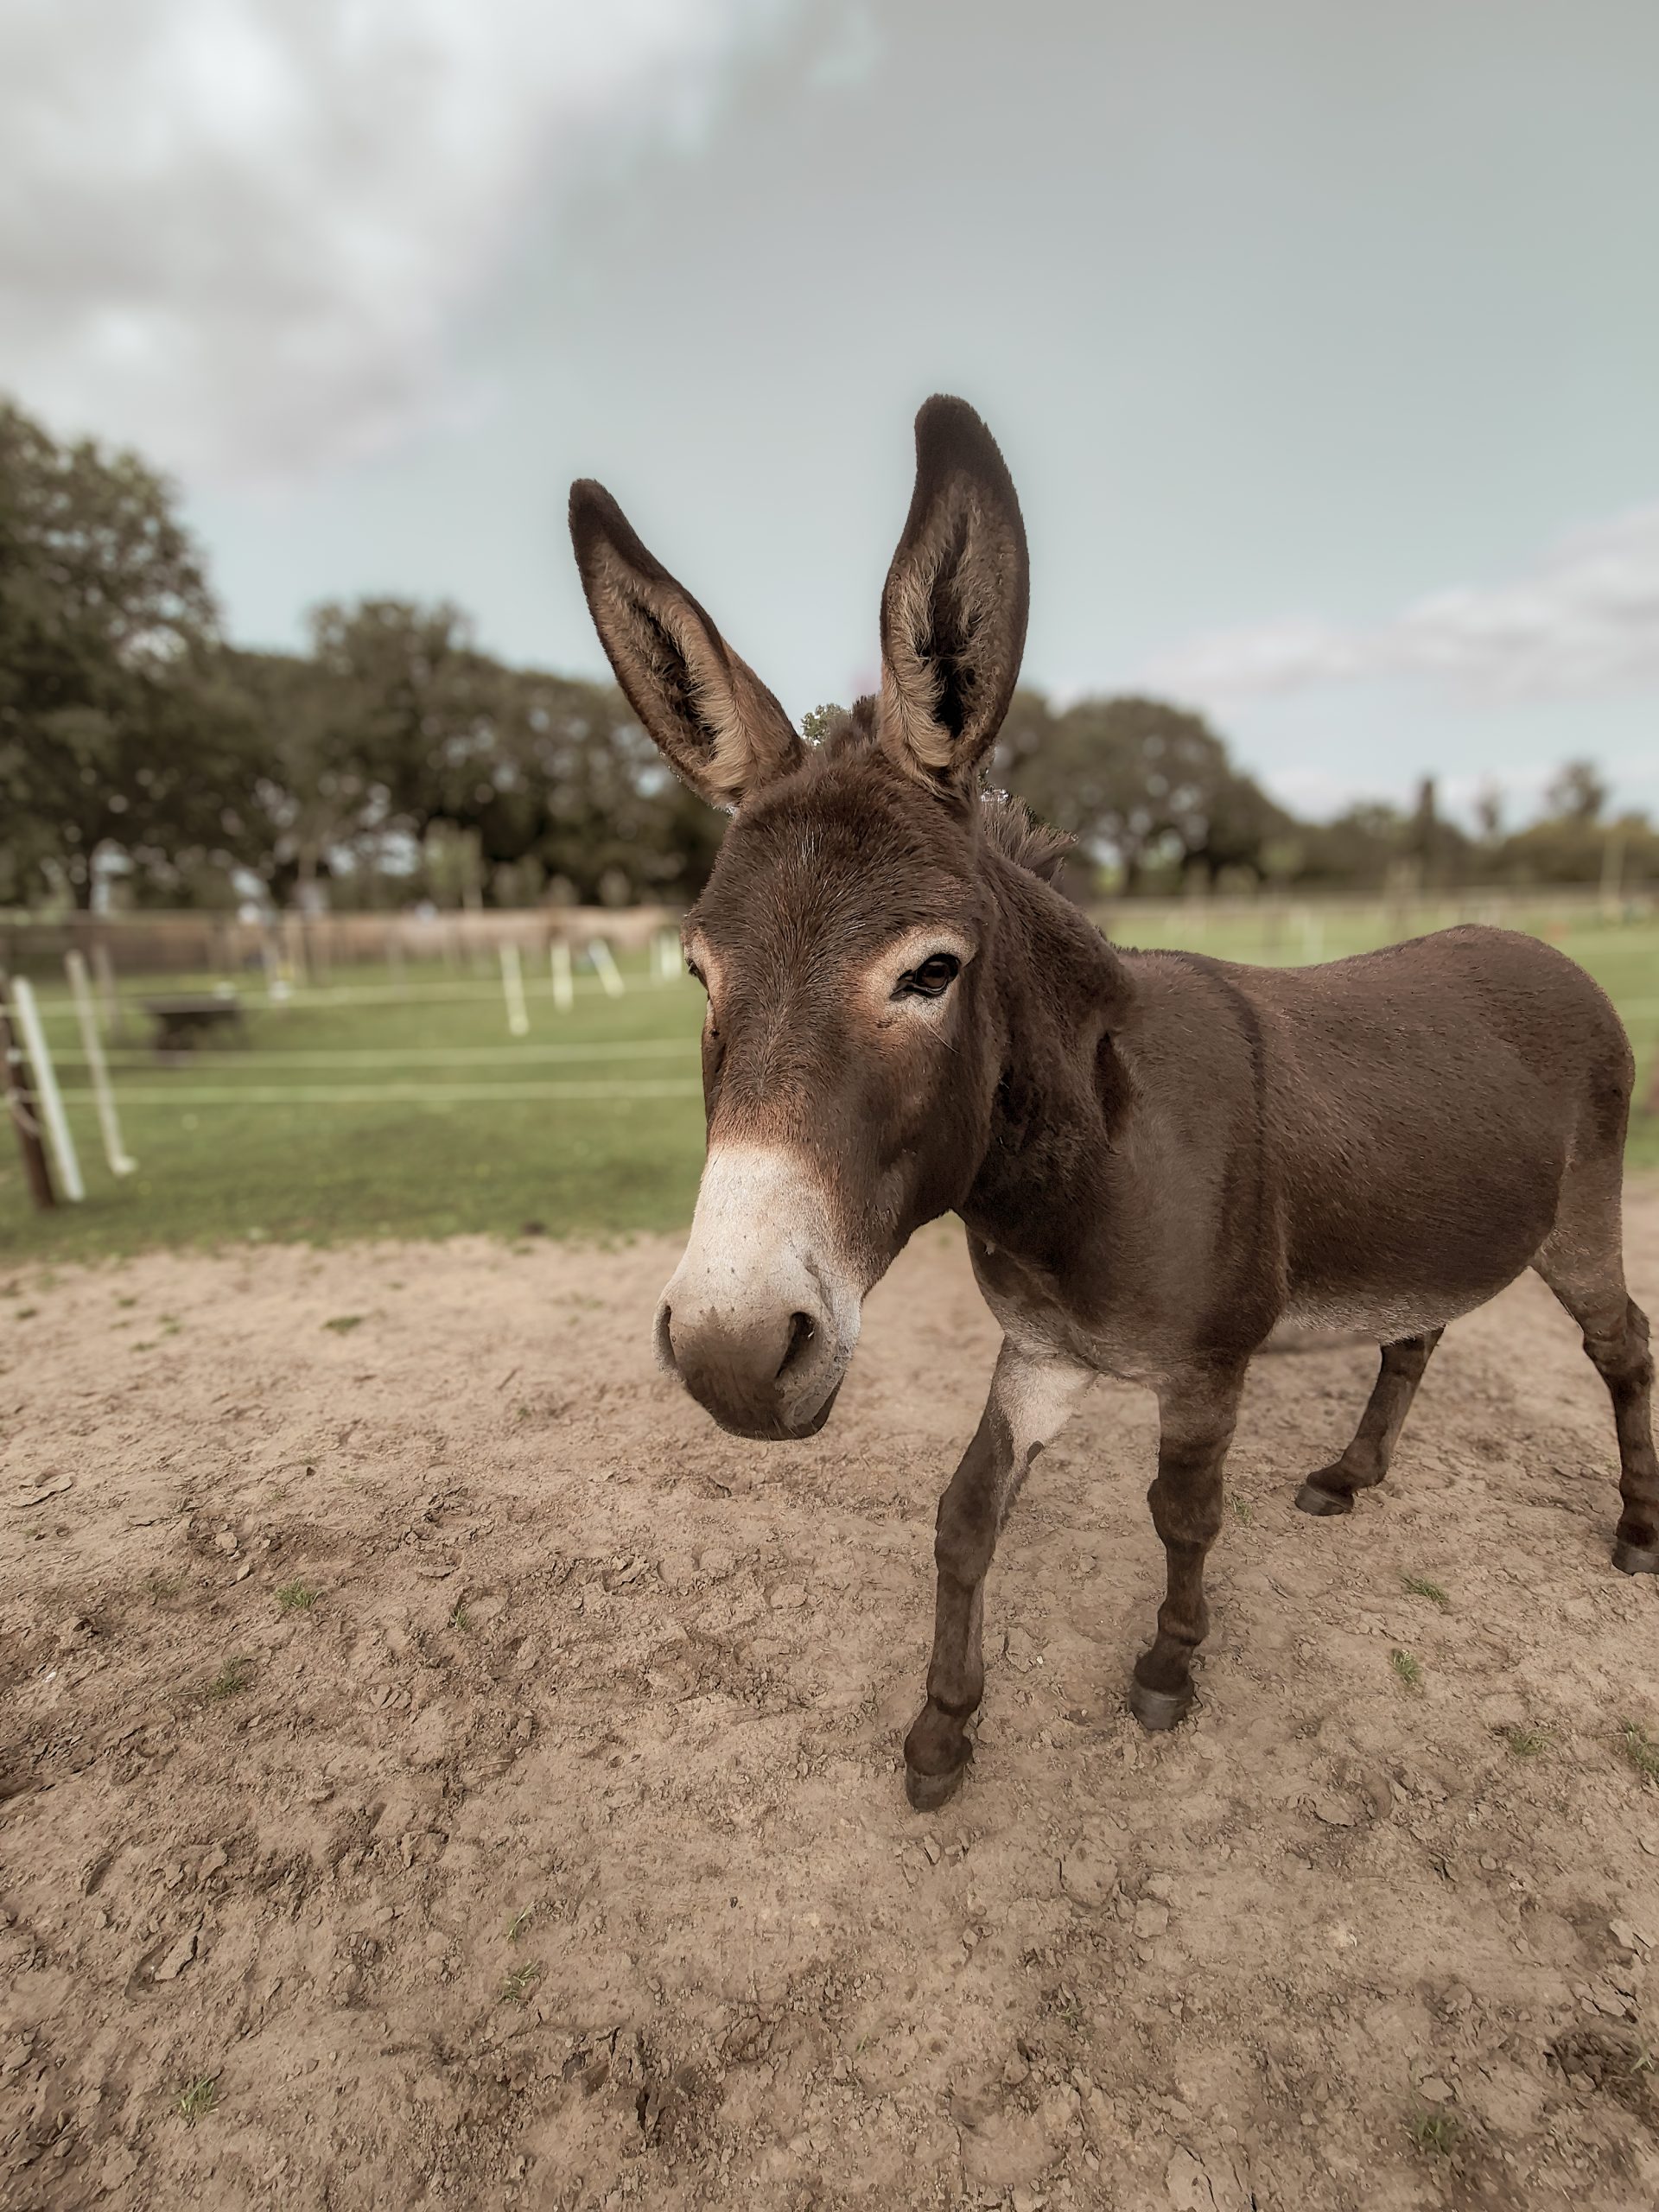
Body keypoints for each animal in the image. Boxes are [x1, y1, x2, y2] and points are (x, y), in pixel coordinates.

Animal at [569, 395, 1657, 1813]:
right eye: (700, 973)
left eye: (931, 970)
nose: (733, 1356)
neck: (1087, 1164)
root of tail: (1542, 945)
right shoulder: (1041, 1349)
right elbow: (966, 1515)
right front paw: (943, 1728)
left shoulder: (1205, 1367)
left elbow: (1182, 1515)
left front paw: (1168, 1667)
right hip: (1430, 1214)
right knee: (1416, 1333)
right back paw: (1351, 1475)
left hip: (1579, 1220)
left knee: (1624, 1344)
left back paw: (1635, 1529)